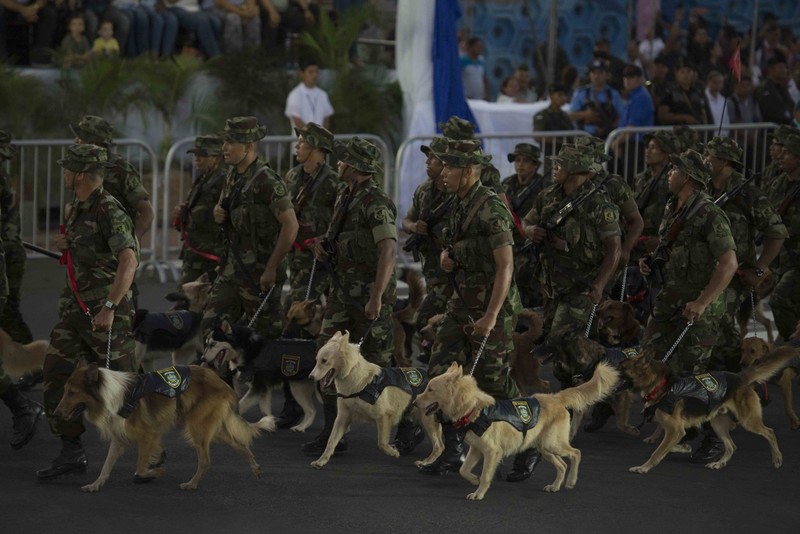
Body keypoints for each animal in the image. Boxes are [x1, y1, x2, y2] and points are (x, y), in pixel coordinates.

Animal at [54, 364, 276, 494]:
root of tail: (222, 382)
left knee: (205, 460)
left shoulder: (149, 434)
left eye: (73, 392)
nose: (55, 414)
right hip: (210, 428)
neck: (107, 394)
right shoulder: (120, 437)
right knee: (240, 445)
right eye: (64, 391)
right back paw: (255, 468)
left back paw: (192, 484)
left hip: (197, 428)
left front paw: (156, 471)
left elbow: (140, 467)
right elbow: (106, 466)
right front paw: (96, 484)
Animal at [308, 332, 444, 472]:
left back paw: (425, 463)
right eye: (317, 359)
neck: (355, 377)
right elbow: (330, 442)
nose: (310, 378)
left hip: (428, 420)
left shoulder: (384, 416)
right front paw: (321, 461)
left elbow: (381, 443)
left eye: (324, 361)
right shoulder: (342, 418)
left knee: (439, 446)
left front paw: (393, 452)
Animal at [416, 360, 620, 502]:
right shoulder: (476, 449)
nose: (415, 401)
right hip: (545, 448)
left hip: (553, 444)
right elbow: (464, 470)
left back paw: (571, 481)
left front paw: (478, 493)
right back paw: (554, 486)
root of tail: (555, 398)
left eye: (430, 389)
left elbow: (485, 476)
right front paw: (473, 480)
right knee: (562, 465)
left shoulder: (492, 452)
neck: (474, 409)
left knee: (576, 453)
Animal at [620, 348, 792, 478]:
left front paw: (643, 467)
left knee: (770, 432)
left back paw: (777, 458)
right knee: (731, 446)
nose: (613, 373)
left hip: (747, 420)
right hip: (718, 424)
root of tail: (740, 377)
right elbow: (668, 446)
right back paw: (719, 463)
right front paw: (683, 448)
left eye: (622, 368)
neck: (661, 386)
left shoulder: (675, 430)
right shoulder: (676, 432)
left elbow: (656, 452)